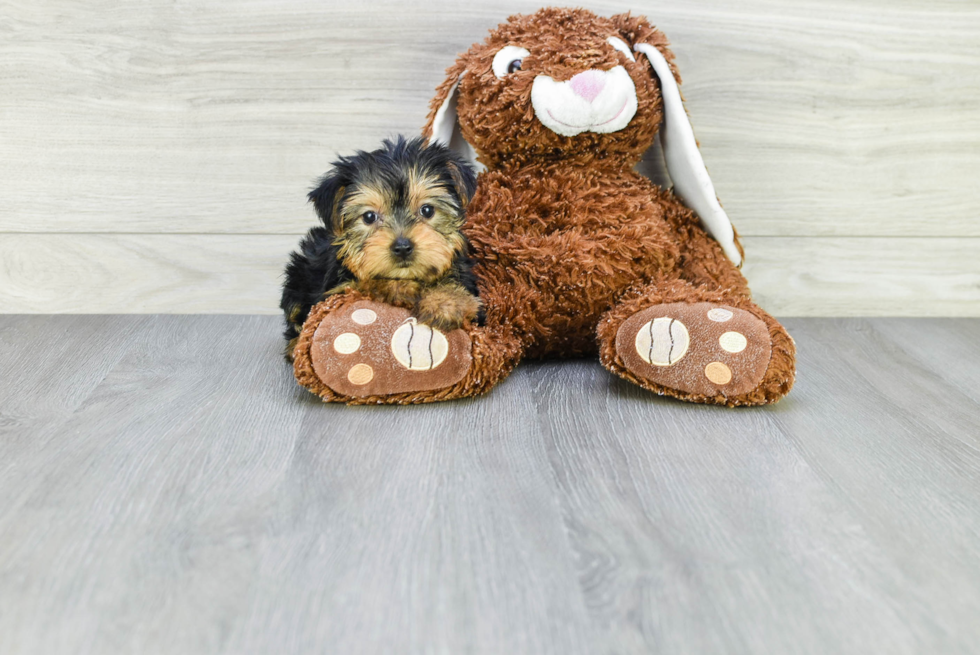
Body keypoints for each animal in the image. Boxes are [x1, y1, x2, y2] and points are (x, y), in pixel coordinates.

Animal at [280, 135, 482, 358]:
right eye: (369, 217)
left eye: (427, 210)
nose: (402, 247)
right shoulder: (336, 290)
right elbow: (367, 283)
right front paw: (404, 289)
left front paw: (446, 301)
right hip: (299, 274)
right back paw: (295, 345)